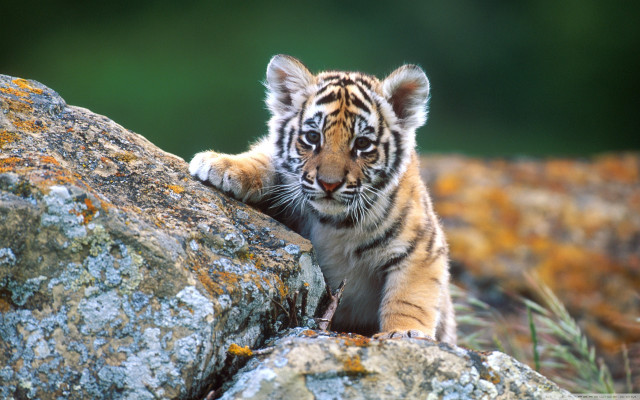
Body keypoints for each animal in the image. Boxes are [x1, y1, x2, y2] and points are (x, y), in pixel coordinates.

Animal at [189, 55, 456, 343]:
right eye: (312, 137)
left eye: (362, 144)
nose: (329, 183)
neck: (335, 224)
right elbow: (264, 158)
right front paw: (221, 165)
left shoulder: (422, 248)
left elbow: (409, 298)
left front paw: (405, 333)